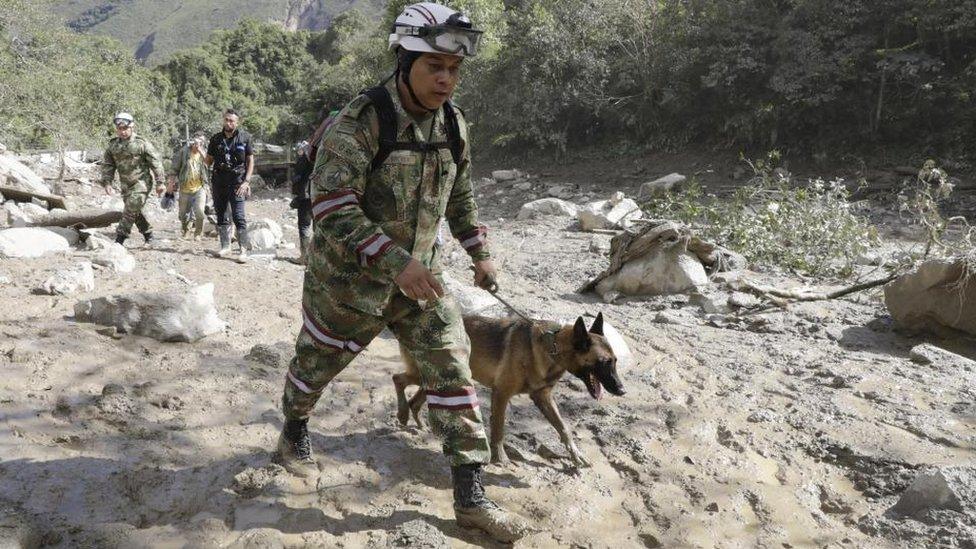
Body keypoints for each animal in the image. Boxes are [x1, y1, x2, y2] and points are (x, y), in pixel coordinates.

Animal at [390, 312, 624, 466]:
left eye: (615, 361)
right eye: (604, 362)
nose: (622, 391)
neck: (553, 349)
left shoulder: (543, 398)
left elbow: (563, 427)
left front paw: (576, 455)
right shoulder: (501, 394)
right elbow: (499, 428)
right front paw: (500, 458)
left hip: (441, 379)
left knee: (416, 399)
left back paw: (417, 421)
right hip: (428, 375)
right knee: (397, 379)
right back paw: (402, 414)